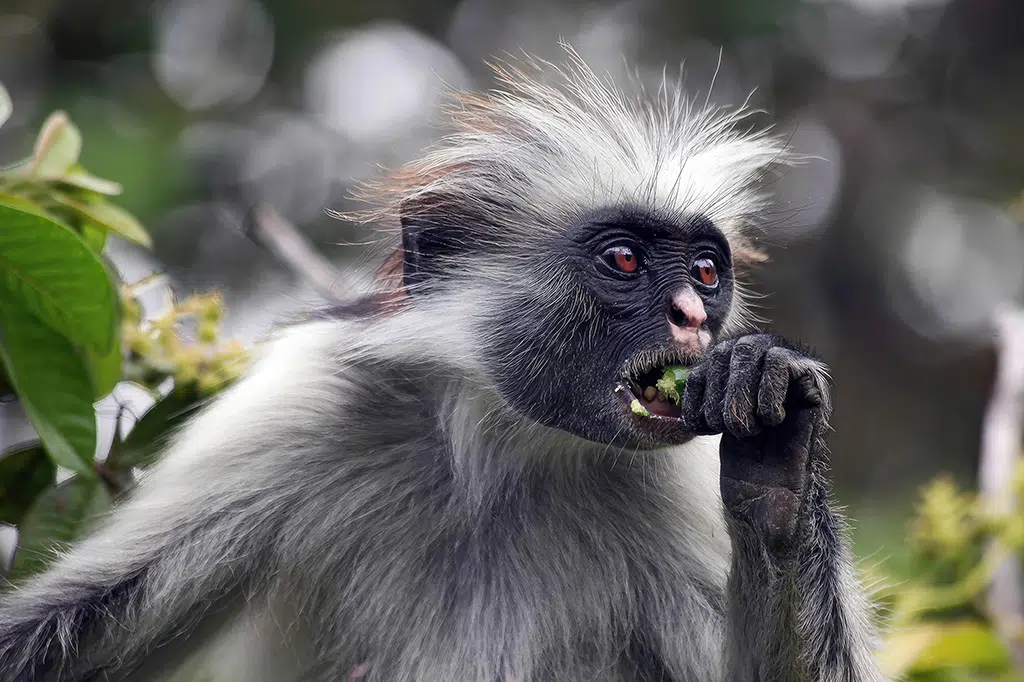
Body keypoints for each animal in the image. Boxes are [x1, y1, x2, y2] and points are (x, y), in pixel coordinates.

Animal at [0, 47, 888, 679]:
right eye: (625, 261)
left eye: (706, 271)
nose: (695, 316)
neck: (504, 446)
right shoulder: (308, 403)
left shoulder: (675, 478)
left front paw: (778, 464)